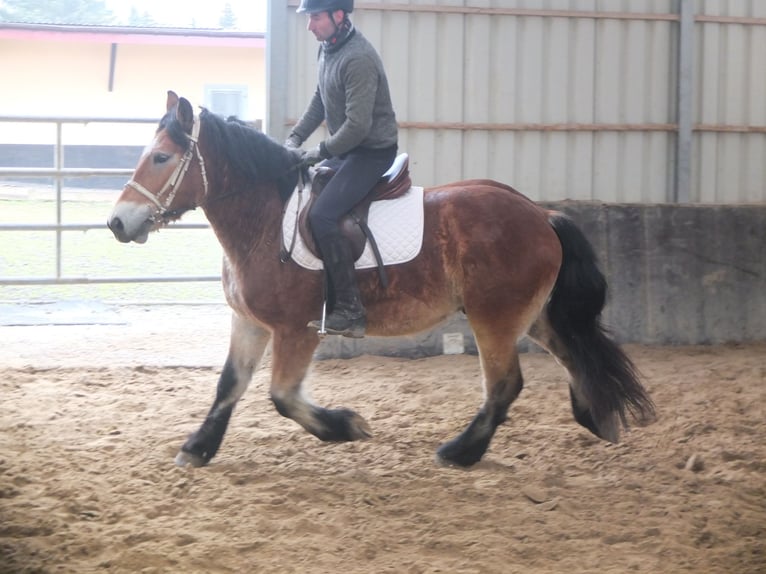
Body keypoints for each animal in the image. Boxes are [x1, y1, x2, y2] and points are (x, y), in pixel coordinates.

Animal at [108, 92, 656, 470]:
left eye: (161, 158)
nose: (116, 223)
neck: (263, 220)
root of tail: (541, 215)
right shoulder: (250, 323)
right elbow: (230, 385)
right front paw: (197, 448)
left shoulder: (295, 330)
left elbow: (282, 395)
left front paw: (346, 426)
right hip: (532, 315)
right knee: (571, 351)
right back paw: (597, 415)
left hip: (494, 318)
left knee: (505, 385)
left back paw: (460, 452)